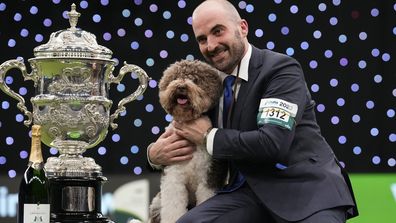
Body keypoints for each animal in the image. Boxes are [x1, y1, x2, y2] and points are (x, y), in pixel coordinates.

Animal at [148, 59, 227, 223]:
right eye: (175, 78)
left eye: (195, 80)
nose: (181, 86)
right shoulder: (173, 177)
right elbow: (173, 208)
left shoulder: (207, 178)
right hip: (157, 202)